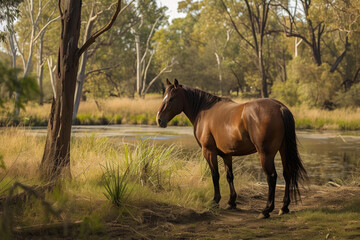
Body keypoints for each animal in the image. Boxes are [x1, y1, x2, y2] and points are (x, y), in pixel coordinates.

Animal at [156, 79, 308, 218]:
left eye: (171, 99)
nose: (159, 120)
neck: (204, 110)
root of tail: (280, 108)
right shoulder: (226, 155)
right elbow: (229, 176)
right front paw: (231, 202)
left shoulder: (209, 151)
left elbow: (215, 175)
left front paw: (215, 200)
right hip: (283, 150)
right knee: (287, 174)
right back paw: (284, 207)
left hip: (266, 154)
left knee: (271, 177)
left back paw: (266, 210)